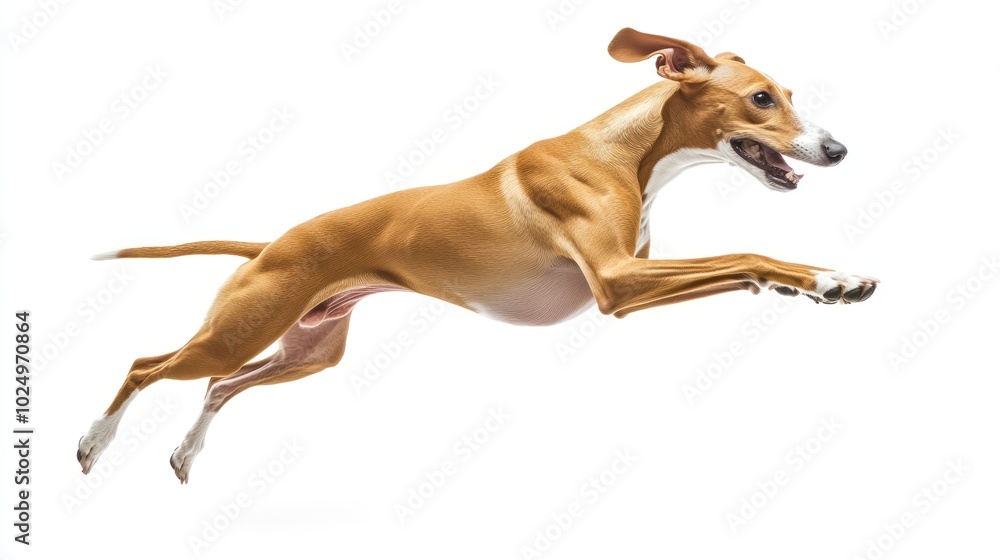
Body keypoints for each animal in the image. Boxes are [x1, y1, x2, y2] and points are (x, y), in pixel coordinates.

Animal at [76, 28, 876, 482]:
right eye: (762, 99)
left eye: (788, 94)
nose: (839, 149)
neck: (623, 151)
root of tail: (272, 242)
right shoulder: (617, 283)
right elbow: (748, 249)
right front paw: (830, 276)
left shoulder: (632, 278)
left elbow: (740, 267)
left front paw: (812, 285)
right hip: (241, 330)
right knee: (148, 366)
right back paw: (91, 443)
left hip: (309, 351)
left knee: (218, 386)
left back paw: (184, 455)